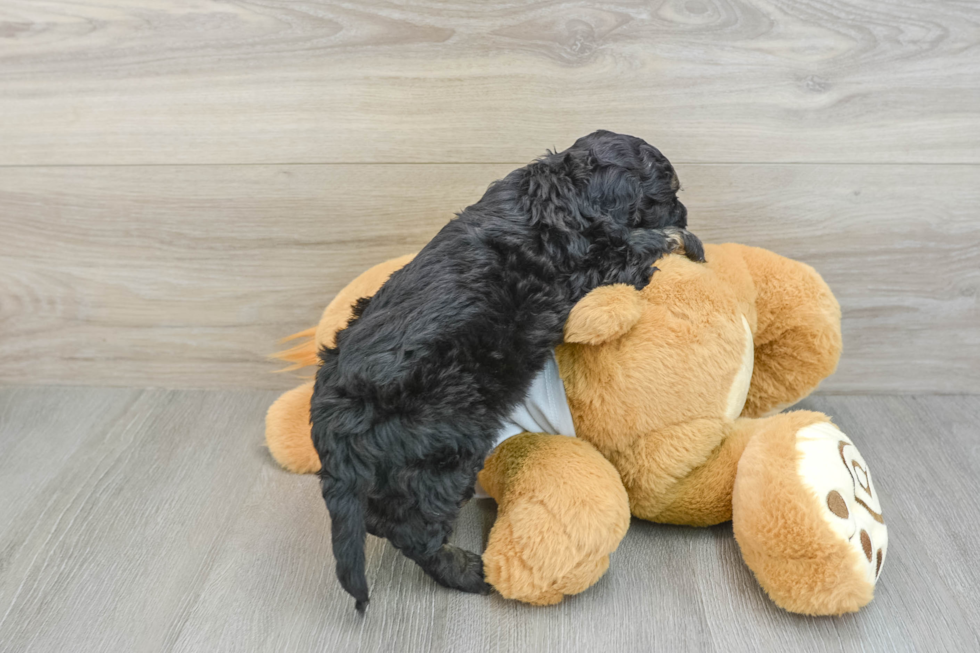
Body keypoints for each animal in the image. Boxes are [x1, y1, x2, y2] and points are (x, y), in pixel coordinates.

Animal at [310, 131, 700, 612]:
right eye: (668, 194)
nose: (685, 211)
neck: (562, 195)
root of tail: (333, 423)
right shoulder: (593, 265)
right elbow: (637, 245)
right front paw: (678, 235)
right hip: (444, 452)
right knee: (412, 530)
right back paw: (467, 571)